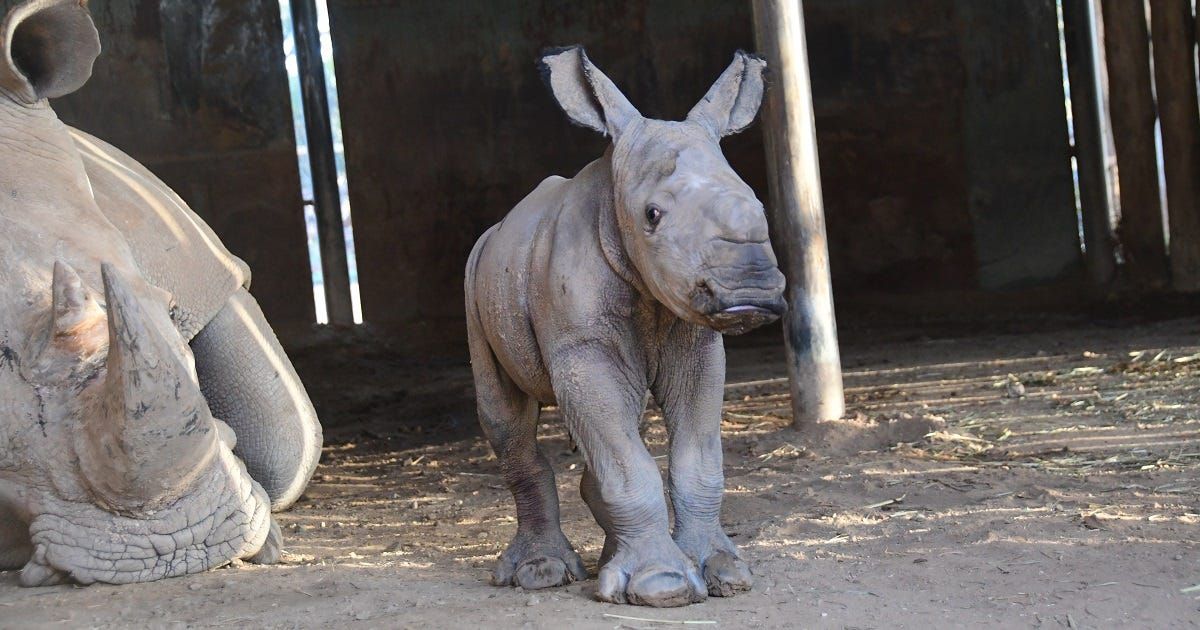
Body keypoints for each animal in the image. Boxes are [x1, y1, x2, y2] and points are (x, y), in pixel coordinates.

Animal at [465, 47, 786, 607]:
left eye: (759, 205)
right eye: (652, 215)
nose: (753, 292)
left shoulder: (698, 343)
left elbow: (696, 458)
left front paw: (722, 572)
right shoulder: (584, 347)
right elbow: (625, 459)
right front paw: (662, 586)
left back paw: (607, 570)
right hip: (474, 274)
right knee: (507, 419)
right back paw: (542, 574)